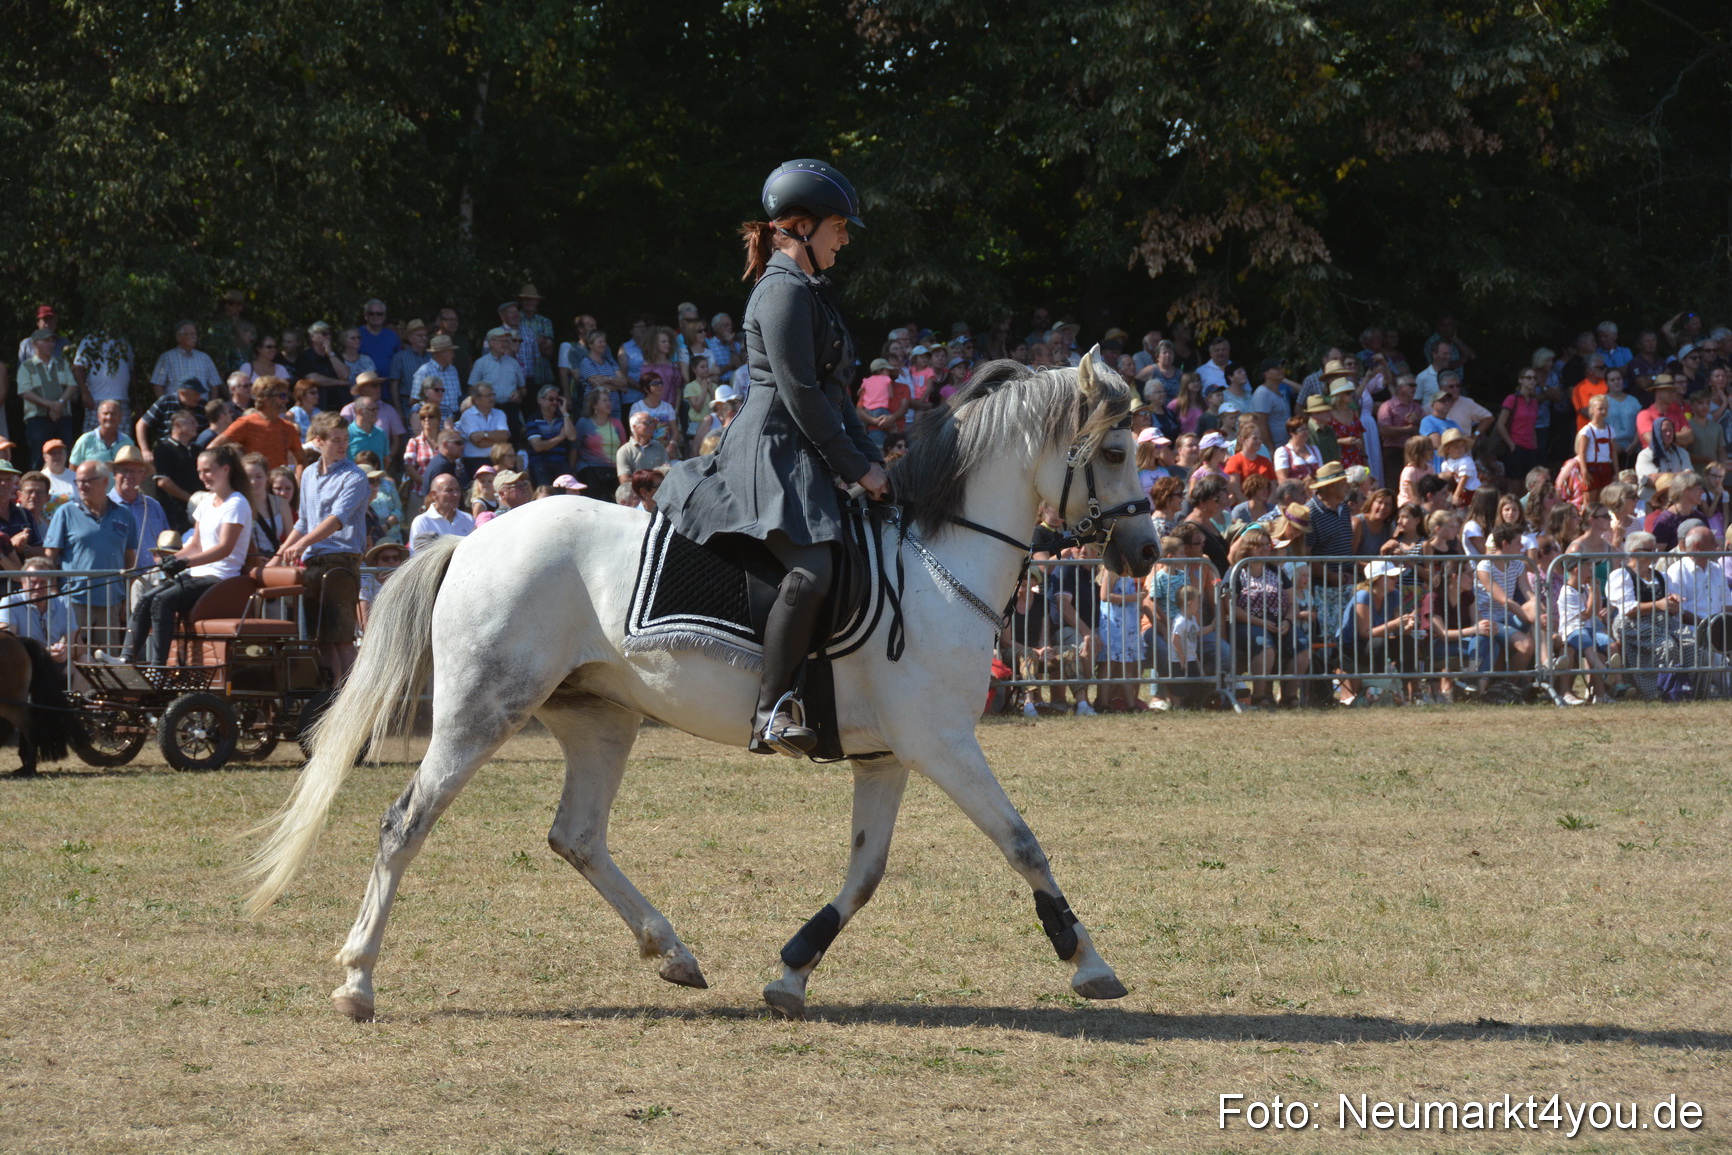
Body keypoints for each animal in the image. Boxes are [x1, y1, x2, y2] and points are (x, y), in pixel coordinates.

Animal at [244, 352, 1160, 1022]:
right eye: (1116, 452)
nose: (1147, 552)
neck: (936, 561)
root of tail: (472, 540)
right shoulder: (943, 742)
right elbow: (1022, 842)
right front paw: (1088, 959)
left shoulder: (887, 756)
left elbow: (866, 873)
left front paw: (791, 971)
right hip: (483, 709)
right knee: (407, 822)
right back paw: (358, 980)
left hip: (600, 718)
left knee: (576, 835)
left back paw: (673, 952)